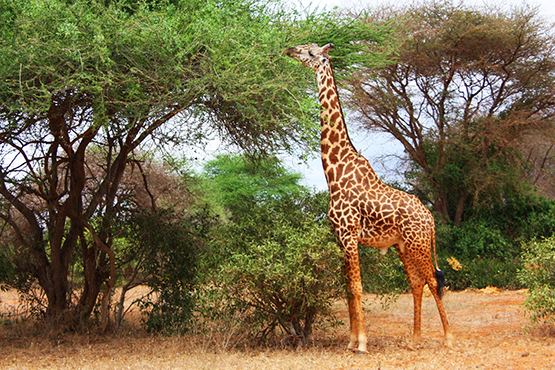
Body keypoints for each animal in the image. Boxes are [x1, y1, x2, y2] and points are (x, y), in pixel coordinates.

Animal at [286, 42, 456, 352]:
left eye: (311, 53)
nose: (290, 49)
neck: (334, 171)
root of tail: (430, 218)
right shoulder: (340, 238)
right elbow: (347, 289)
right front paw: (351, 341)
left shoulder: (350, 234)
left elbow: (357, 287)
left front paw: (362, 343)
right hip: (404, 246)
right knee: (417, 283)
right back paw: (414, 339)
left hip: (418, 243)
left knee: (434, 281)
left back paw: (449, 338)